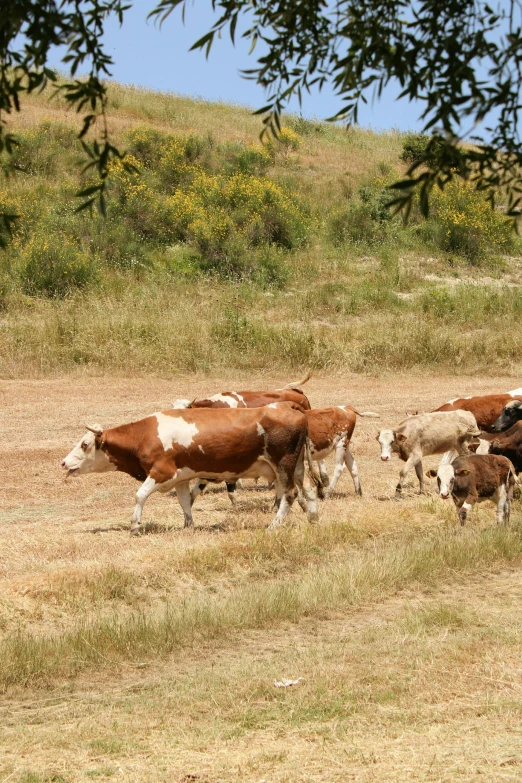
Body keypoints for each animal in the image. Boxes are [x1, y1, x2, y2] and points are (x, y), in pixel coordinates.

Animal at [63, 404, 318, 532]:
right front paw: (188, 525)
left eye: (84, 444)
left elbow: (140, 495)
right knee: (308, 489)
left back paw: (274, 524)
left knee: (290, 493)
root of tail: (297, 413)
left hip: (283, 464)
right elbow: (184, 501)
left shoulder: (161, 472)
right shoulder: (181, 478)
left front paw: (134, 524)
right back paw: (313, 517)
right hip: (296, 466)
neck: (145, 435)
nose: (64, 462)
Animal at [191, 404, 378, 508]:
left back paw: (328, 492)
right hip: (345, 446)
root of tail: (346, 408)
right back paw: (358, 491)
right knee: (352, 465)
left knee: (339, 468)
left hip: (341, 444)